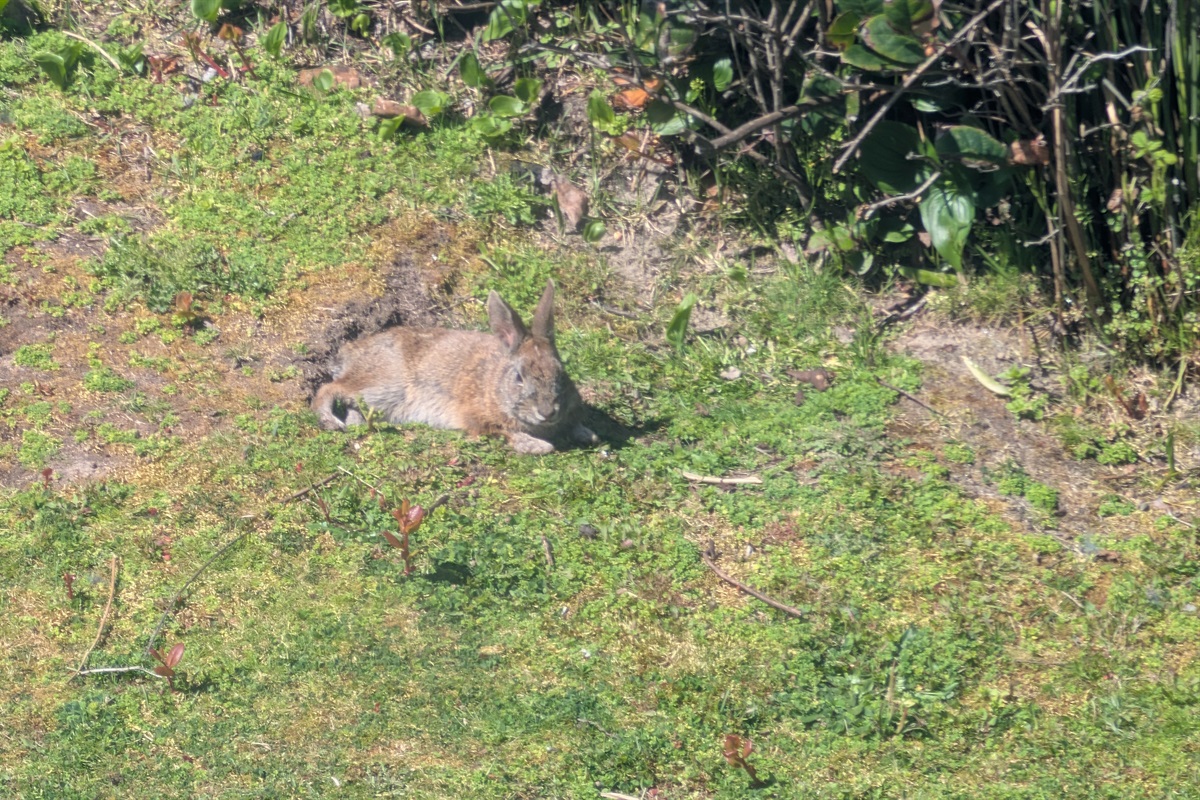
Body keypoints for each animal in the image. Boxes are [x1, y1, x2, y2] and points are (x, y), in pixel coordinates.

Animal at [312, 280, 598, 454]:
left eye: (560, 373)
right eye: (519, 376)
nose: (547, 412)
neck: (495, 382)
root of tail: (349, 353)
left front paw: (589, 434)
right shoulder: (478, 417)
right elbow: (504, 431)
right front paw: (538, 446)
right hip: (382, 384)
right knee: (328, 390)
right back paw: (331, 421)